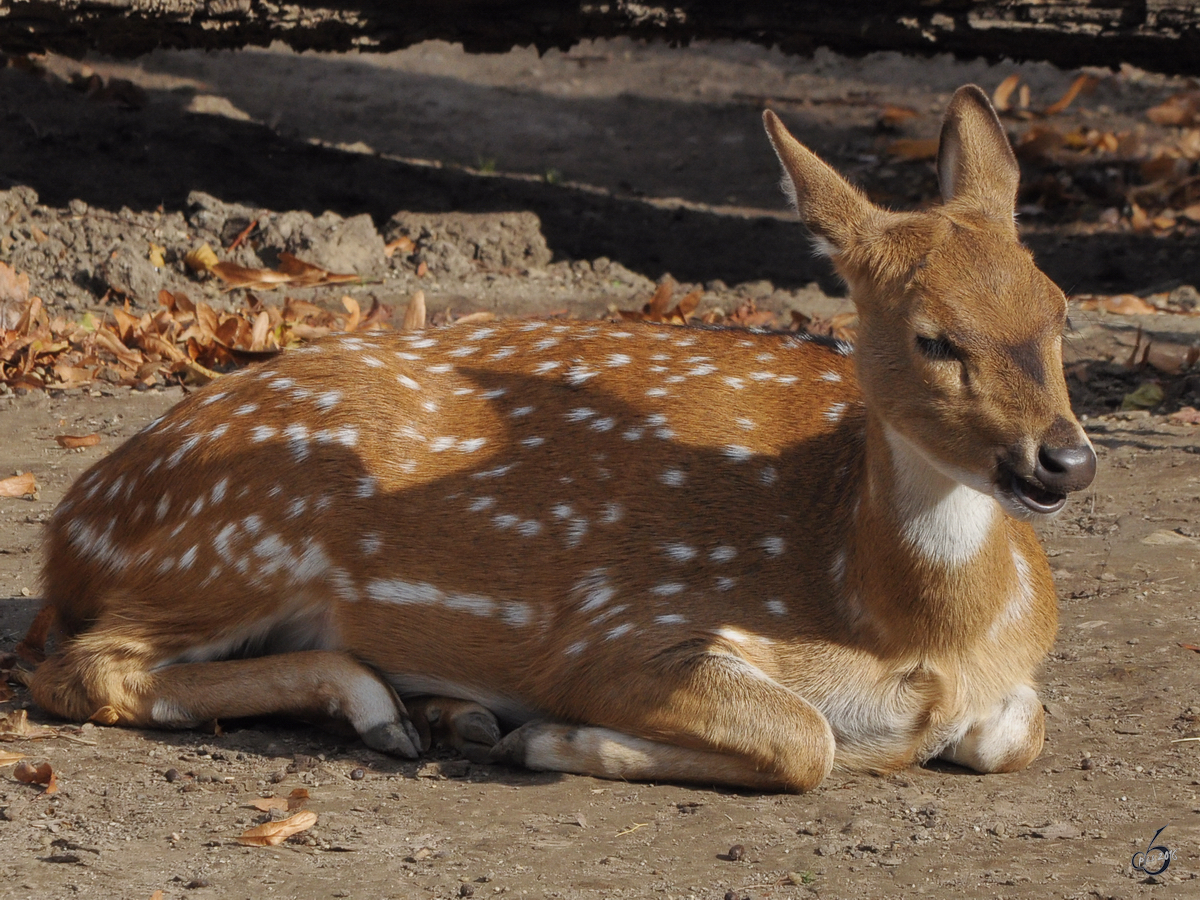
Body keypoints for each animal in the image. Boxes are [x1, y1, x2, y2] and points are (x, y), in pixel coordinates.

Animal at [30, 84, 1099, 787]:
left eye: (1060, 310)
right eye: (934, 337)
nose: (1066, 460)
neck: (906, 628)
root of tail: (68, 527)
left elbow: (1019, 733)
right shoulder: (616, 629)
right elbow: (811, 743)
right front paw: (552, 739)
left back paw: (439, 714)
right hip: (244, 537)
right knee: (81, 670)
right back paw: (392, 707)